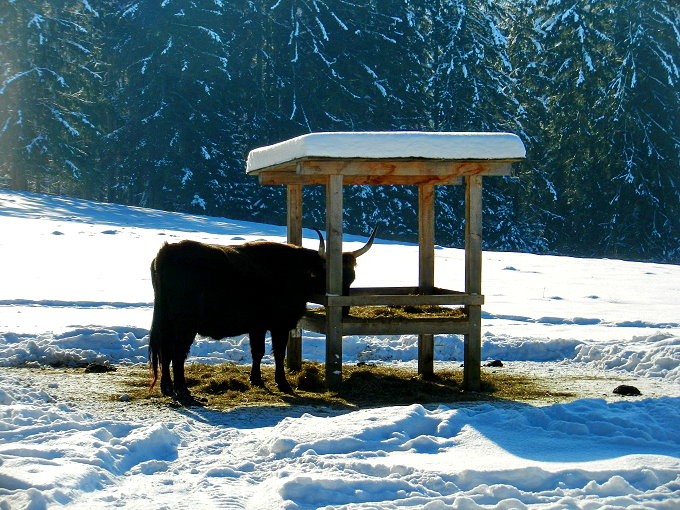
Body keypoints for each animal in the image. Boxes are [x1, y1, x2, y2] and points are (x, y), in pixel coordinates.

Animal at [147, 229, 378, 400]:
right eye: (330, 276)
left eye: (352, 277)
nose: (345, 309)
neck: (296, 270)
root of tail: (168, 251)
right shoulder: (280, 325)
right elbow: (278, 353)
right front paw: (283, 383)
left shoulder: (256, 326)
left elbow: (257, 352)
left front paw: (256, 379)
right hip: (185, 324)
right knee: (177, 352)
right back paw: (183, 391)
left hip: (166, 321)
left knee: (165, 350)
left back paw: (167, 388)